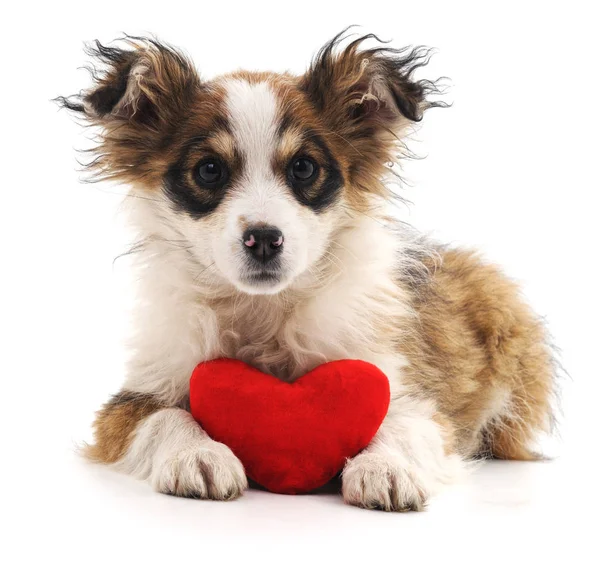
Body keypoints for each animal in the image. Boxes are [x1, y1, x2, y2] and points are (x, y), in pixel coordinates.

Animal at [58, 33, 556, 512]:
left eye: (303, 167)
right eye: (209, 170)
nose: (263, 238)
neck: (264, 309)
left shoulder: (404, 388)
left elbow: (402, 425)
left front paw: (385, 468)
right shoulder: (132, 399)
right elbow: (164, 417)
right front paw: (197, 454)